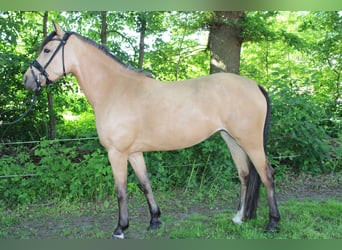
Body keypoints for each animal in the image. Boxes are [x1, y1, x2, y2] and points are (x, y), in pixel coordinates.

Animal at [23, 23, 280, 238]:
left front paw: (120, 228)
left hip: (250, 141)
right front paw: (154, 220)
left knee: (266, 174)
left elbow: (121, 190)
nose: (27, 80)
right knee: (245, 174)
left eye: (47, 50)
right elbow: (145, 183)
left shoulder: (116, 153)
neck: (115, 89)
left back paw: (272, 223)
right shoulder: (134, 153)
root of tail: (254, 85)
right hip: (231, 139)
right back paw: (240, 217)